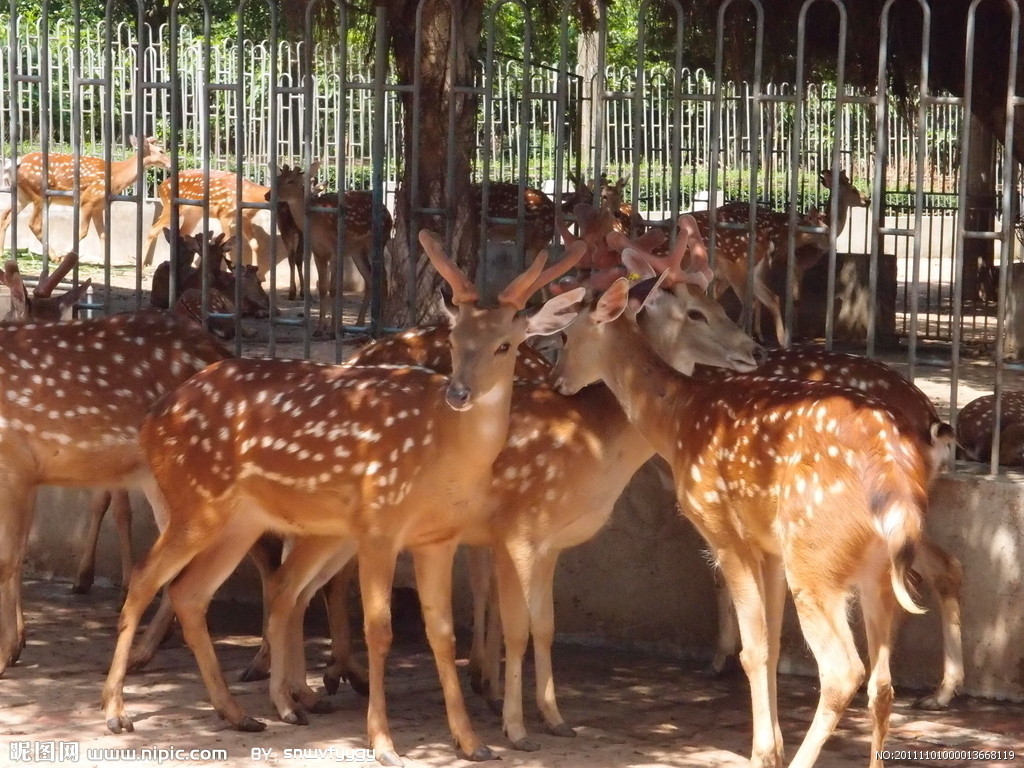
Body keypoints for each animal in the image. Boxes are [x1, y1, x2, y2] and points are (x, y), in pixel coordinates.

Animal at [0, 137, 172, 257]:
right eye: (161, 151)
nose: (171, 164)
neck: (116, 177)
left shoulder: (98, 207)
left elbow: (103, 235)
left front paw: (107, 264)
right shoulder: (88, 200)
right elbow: (82, 232)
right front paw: (66, 255)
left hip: (23, 195)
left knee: (6, 216)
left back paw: (3, 254)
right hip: (39, 195)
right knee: (33, 224)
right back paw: (55, 257)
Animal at [100, 231, 589, 765]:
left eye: (505, 344)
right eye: (456, 340)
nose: (459, 393)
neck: (440, 448)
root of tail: (152, 421)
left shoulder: (438, 538)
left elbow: (442, 634)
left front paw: (472, 742)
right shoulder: (379, 522)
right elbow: (379, 629)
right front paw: (384, 743)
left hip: (239, 520)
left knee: (191, 592)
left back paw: (238, 714)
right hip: (196, 501)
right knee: (145, 578)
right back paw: (117, 712)